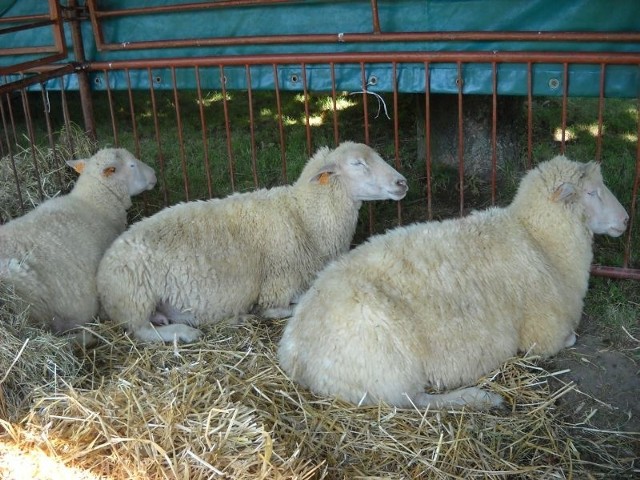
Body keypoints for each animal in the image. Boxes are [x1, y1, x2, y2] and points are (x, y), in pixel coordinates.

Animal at [97, 141, 408, 344]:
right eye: (357, 164)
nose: (402, 182)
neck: (305, 217)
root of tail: (104, 264)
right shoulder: (277, 288)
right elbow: (282, 307)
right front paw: (258, 313)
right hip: (136, 297)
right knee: (140, 331)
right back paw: (184, 333)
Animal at [280, 157, 632, 408]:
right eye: (592, 193)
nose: (627, 219)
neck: (538, 239)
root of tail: (293, 351)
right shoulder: (544, 334)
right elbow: (569, 338)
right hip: (388, 366)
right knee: (413, 401)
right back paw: (479, 398)